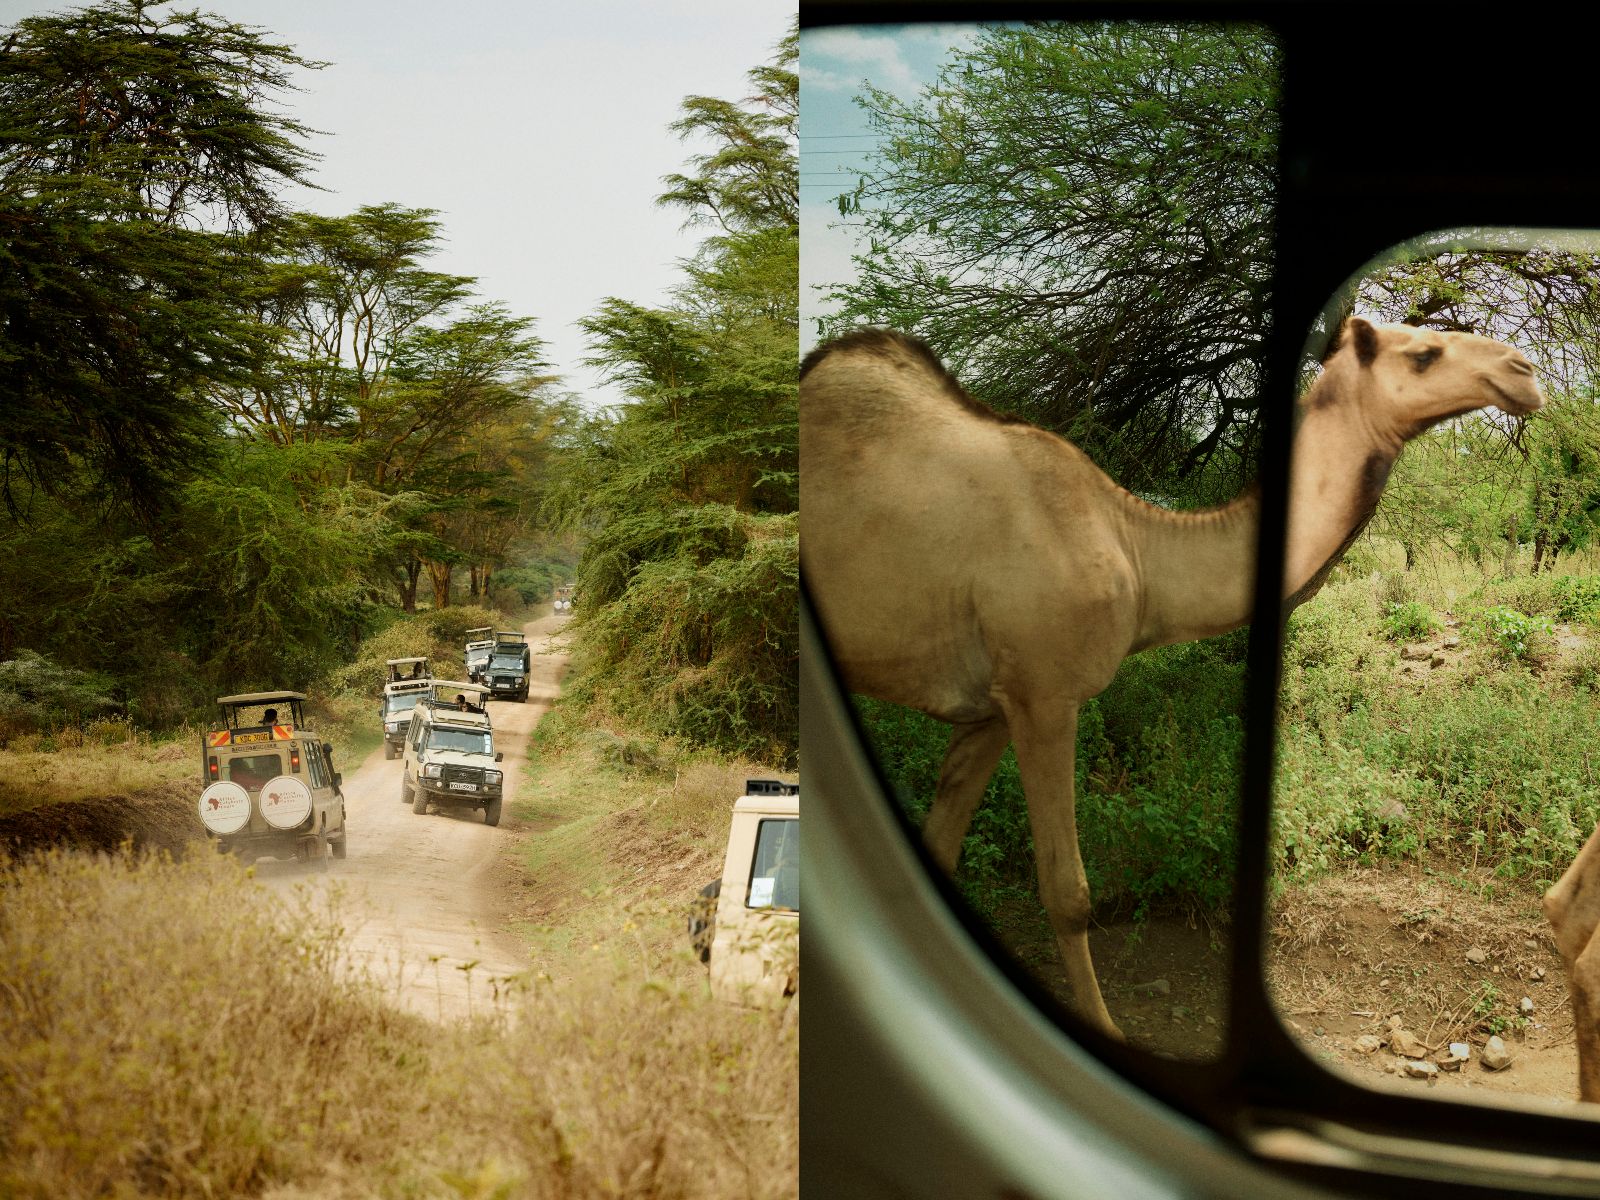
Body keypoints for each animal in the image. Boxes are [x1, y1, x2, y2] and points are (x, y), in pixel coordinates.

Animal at [800, 317, 1543, 1038]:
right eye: (1424, 352)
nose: (1524, 372)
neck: (1137, 548)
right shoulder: (1045, 694)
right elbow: (1069, 893)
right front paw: (1106, 1027)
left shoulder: (990, 707)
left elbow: (941, 852)